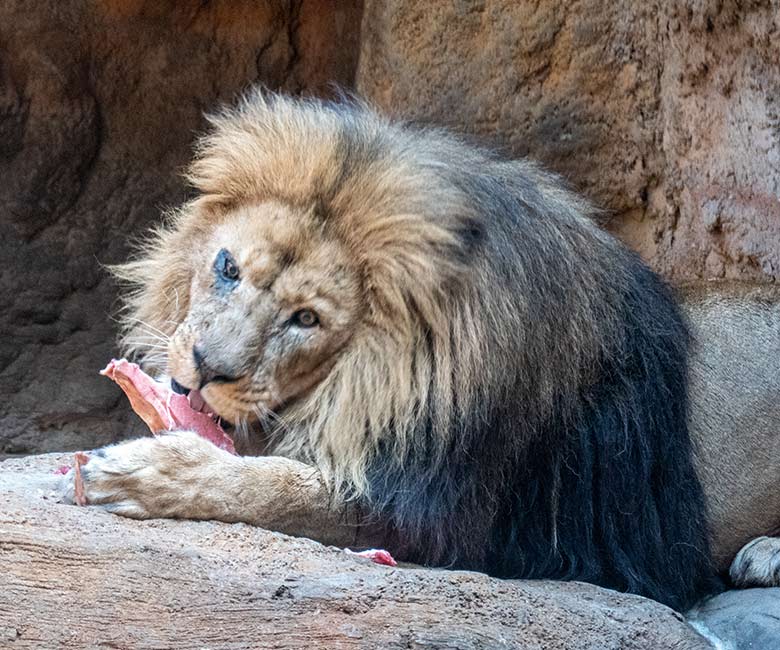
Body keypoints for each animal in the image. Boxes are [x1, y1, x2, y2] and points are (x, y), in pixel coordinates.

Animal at [62, 90, 780, 608]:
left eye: (305, 319)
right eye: (228, 267)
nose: (208, 368)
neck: (362, 372)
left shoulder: (440, 515)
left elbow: (278, 488)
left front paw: (141, 471)